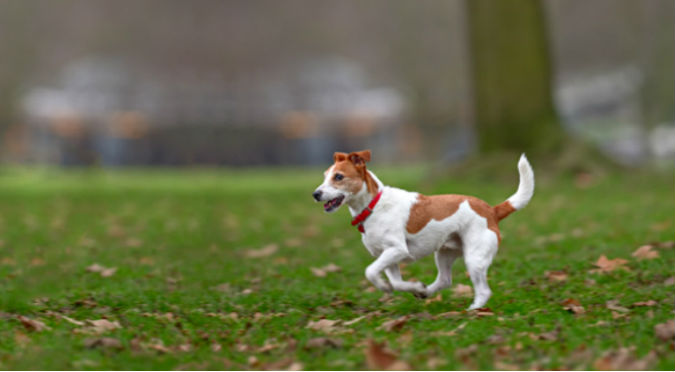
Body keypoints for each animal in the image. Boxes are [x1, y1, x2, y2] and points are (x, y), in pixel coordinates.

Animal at [310, 150, 532, 310]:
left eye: (339, 177)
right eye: (325, 177)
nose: (315, 194)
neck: (374, 205)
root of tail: (492, 210)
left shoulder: (397, 249)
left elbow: (370, 271)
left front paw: (383, 286)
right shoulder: (388, 256)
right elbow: (396, 282)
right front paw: (413, 287)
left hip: (474, 258)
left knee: (483, 290)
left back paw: (473, 310)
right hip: (444, 253)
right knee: (444, 280)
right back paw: (426, 292)